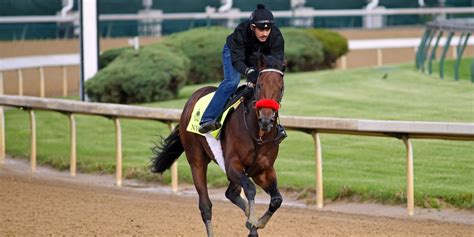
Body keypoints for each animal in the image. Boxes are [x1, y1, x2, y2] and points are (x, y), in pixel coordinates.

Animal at [152, 54, 286, 237]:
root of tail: (193, 97)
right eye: (259, 85)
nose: (266, 119)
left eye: (281, 88)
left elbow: (276, 199)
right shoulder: (232, 165)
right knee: (206, 206)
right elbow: (250, 188)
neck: (257, 135)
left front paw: (256, 223)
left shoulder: (263, 170)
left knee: (231, 192)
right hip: (196, 160)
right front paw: (253, 221)